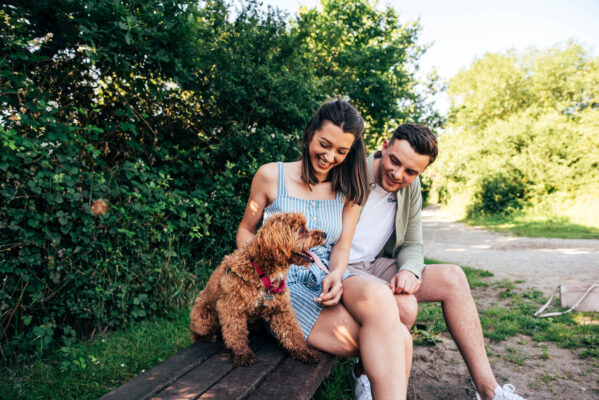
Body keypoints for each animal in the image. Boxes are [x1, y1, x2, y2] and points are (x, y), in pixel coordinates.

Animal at [190, 212, 326, 366]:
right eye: (302, 230)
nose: (325, 234)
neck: (261, 273)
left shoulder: (280, 309)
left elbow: (292, 333)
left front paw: (304, 351)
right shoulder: (231, 307)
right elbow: (236, 333)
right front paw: (242, 354)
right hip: (203, 317)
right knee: (196, 334)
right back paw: (208, 336)